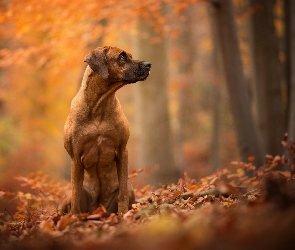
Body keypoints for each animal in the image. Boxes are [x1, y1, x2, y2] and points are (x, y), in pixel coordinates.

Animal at [61, 46, 151, 214]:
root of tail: (98, 208)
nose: (149, 64)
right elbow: (76, 196)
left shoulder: (122, 150)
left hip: (128, 190)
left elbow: (122, 193)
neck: (99, 105)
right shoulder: (75, 158)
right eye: (122, 57)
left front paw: (123, 214)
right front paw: (73, 217)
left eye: (130, 56)